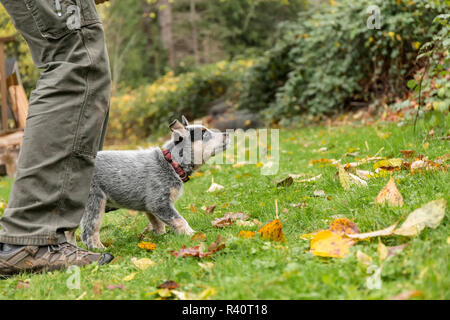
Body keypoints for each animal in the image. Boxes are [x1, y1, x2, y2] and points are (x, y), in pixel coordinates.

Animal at [67, 116, 229, 249]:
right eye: (204, 133)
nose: (227, 134)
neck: (171, 163)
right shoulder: (159, 202)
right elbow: (179, 220)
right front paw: (192, 234)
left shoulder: (150, 207)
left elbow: (158, 223)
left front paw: (162, 236)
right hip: (95, 202)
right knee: (88, 232)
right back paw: (100, 250)